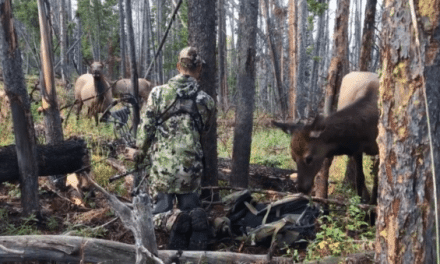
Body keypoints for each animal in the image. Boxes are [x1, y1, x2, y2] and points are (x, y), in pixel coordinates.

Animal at [272, 71, 378, 203]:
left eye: (309, 158)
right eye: (293, 158)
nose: (302, 188)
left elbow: (377, 182)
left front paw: (373, 206)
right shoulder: (357, 149)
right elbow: (360, 178)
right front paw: (362, 203)